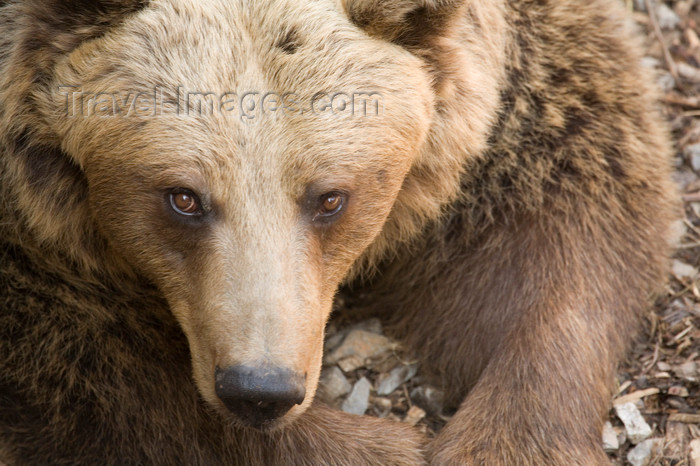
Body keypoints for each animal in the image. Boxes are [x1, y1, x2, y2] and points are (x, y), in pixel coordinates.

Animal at [0, 0, 680, 464]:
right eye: (182, 197)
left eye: (330, 197)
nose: (260, 389)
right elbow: (97, 371)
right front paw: (383, 447)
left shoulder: (515, 106)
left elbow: (562, 224)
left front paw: (505, 442)